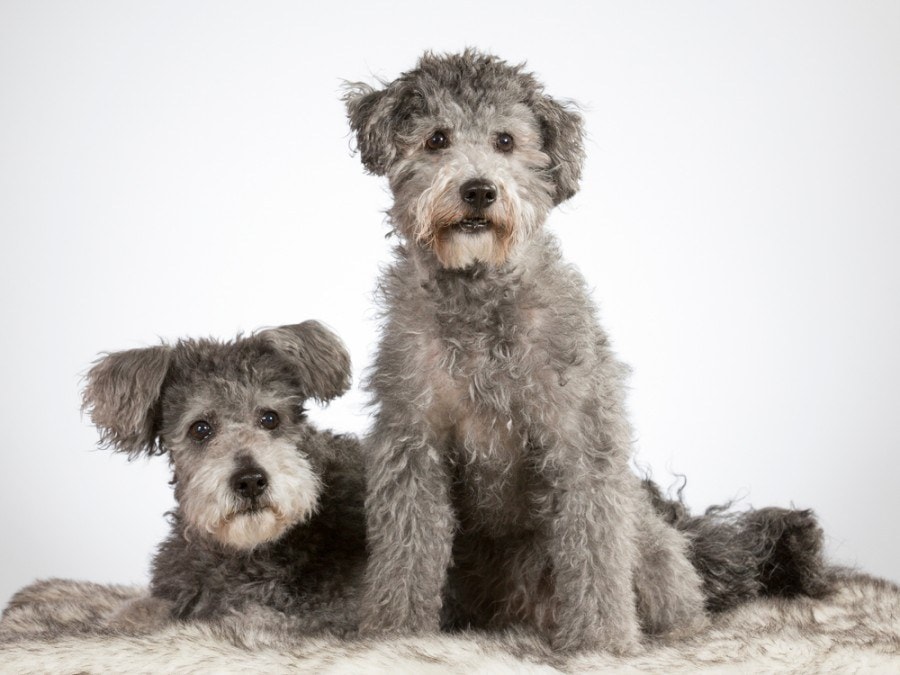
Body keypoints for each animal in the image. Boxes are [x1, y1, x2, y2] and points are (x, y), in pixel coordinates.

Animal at [344, 50, 828, 652]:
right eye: (436, 139)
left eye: (505, 140)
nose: (479, 190)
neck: (480, 300)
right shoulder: (412, 443)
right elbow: (406, 550)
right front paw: (394, 634)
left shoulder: (581, 442)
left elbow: (593, 550)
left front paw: (601, 644)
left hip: (648, 542)